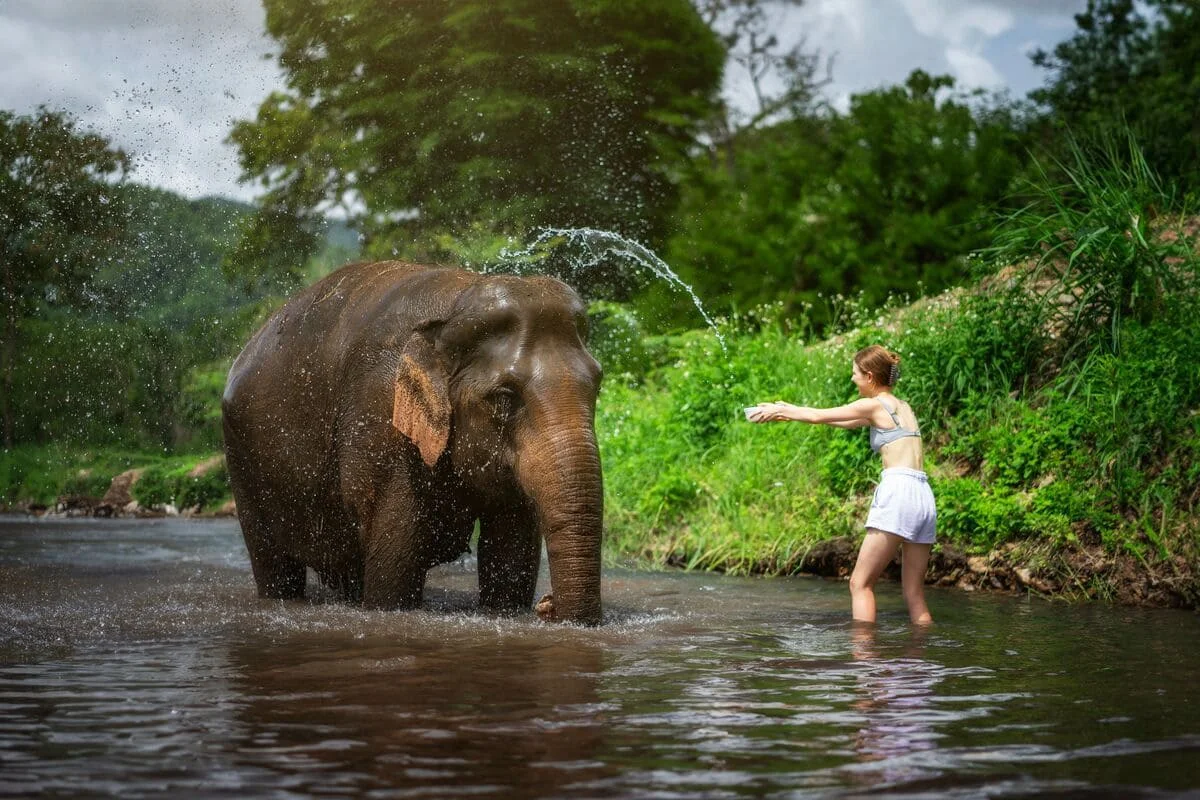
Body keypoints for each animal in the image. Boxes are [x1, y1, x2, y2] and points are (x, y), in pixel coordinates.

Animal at [221, 261, 604, 625]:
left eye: (597, 384)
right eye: (504, 398)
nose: (547, 605)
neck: (457, 301)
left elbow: (511, 560)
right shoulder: (380, 427)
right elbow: (393, 579)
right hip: (242, 462)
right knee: (274, 566)